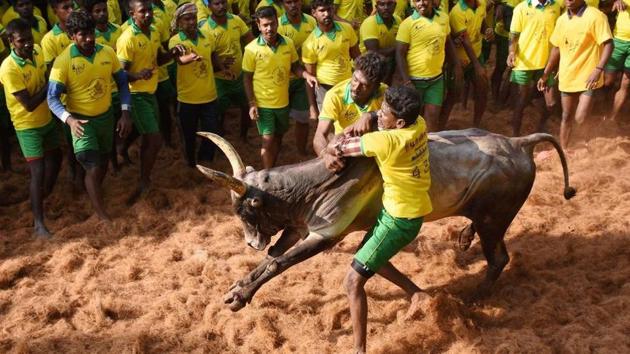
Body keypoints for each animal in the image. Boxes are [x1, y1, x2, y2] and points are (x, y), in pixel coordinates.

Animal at [198, 129, 576, 312]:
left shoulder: (325, 234)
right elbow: (273, 257)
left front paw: (240, 297)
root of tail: (519, 142)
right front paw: (238, 287)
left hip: (494, 218)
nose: (250, 242)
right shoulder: (300, 228)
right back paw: (463, 239)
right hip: (488, 218)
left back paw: (474, 299)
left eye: (249, 209)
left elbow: (279, 263)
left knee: (499, 258)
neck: (310, 185)